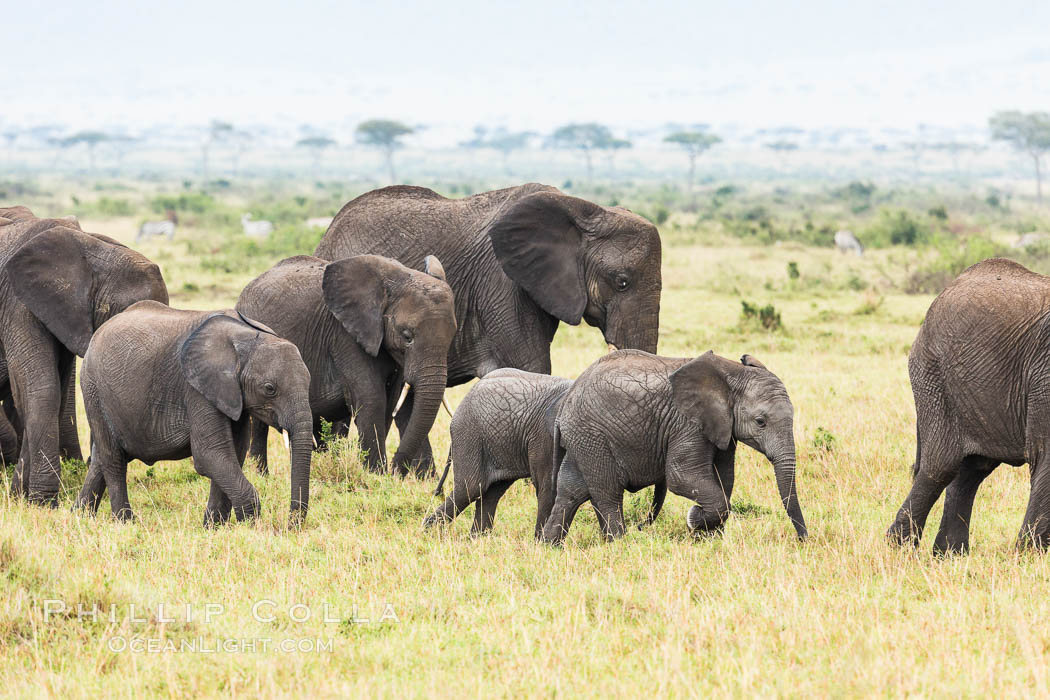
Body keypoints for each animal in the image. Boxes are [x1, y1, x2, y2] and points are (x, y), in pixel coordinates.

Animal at [238, 252, 455, 476]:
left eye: (453, 336)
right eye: (407, 336)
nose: (395, 471)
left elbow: (391, 401)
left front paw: (378, 474)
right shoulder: (344, 336)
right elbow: (372, 398)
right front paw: (375, 475)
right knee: (260, 423)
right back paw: (261, 475)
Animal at [537, 352, 806, 545]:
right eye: (760, 422)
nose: (803, 540)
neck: (731, 372)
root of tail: (566, 402)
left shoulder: (723, 428)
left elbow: (724, 478)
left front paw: (709, 538)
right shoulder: (686, 424)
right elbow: (681, 476)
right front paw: (696, 520)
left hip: (582, 439)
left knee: (572, 491)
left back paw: (551, 546)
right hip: (592, 436)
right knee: (607, 492)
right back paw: (619, 544)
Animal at [881, 257, 1050, 554]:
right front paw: (1030, 557)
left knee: (972, 469)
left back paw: (950, 554)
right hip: (934, 375)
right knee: (941, 465)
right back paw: (898, 548)